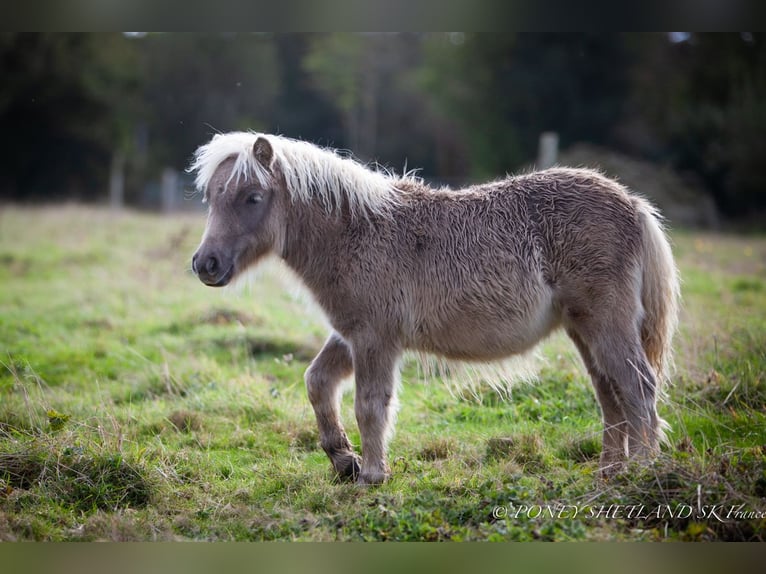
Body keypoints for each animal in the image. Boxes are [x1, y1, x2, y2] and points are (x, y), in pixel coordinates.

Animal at [189, 132, 680, 486]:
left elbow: (370, 405)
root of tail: (632, 203)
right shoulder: (351, 335)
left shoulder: (374, 340)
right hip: (583, 331)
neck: (356, 233)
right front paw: (343, 460)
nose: (205, 264)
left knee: (638, 388)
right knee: (610, 394)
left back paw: (641, 471)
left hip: (606, 326)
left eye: (252, 197)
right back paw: (610, 472)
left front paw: (371, 475)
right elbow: (317, 382)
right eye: (211, 196)